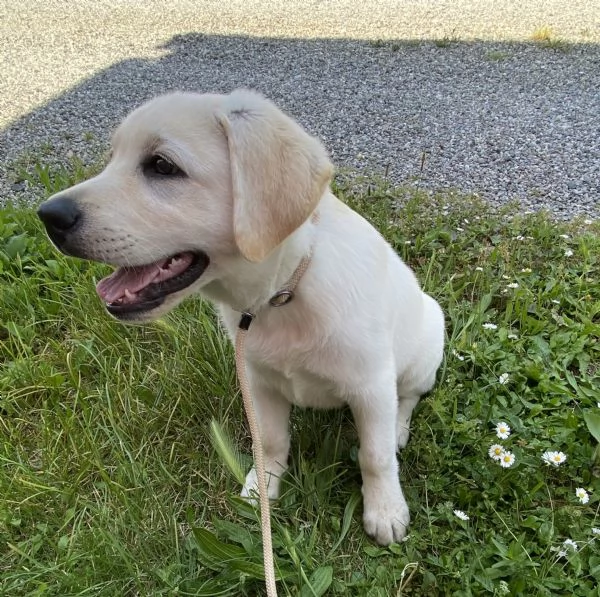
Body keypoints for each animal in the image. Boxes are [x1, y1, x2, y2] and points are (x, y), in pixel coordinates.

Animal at [36, 89, 440, 544]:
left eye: (162, 166)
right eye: (111, 159)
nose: (48, 215)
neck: (283, 293)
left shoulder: (370, 386)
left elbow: (374, 455)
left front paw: (385, 510)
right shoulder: (258, 381)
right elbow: (271, 441)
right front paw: (262, 488)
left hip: (424, 348)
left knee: (408, 398)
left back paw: (399, 431)